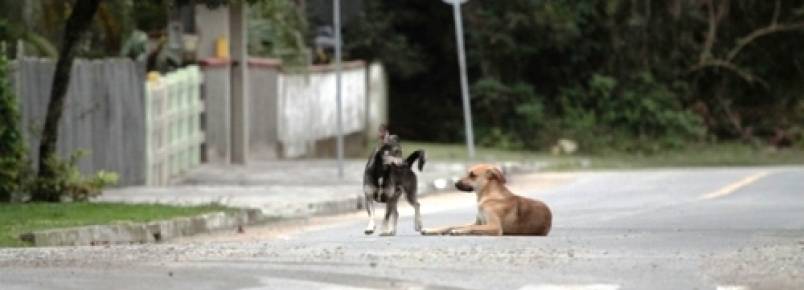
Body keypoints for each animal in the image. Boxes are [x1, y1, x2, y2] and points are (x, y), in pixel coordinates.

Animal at [420, 163, 552, 236]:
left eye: (472, 175)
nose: (455, 183)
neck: (489, 196)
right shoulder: (478, 222)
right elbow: (451, 225)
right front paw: (431, 230)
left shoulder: (494, 227)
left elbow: (470, 228)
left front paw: (459, 231)